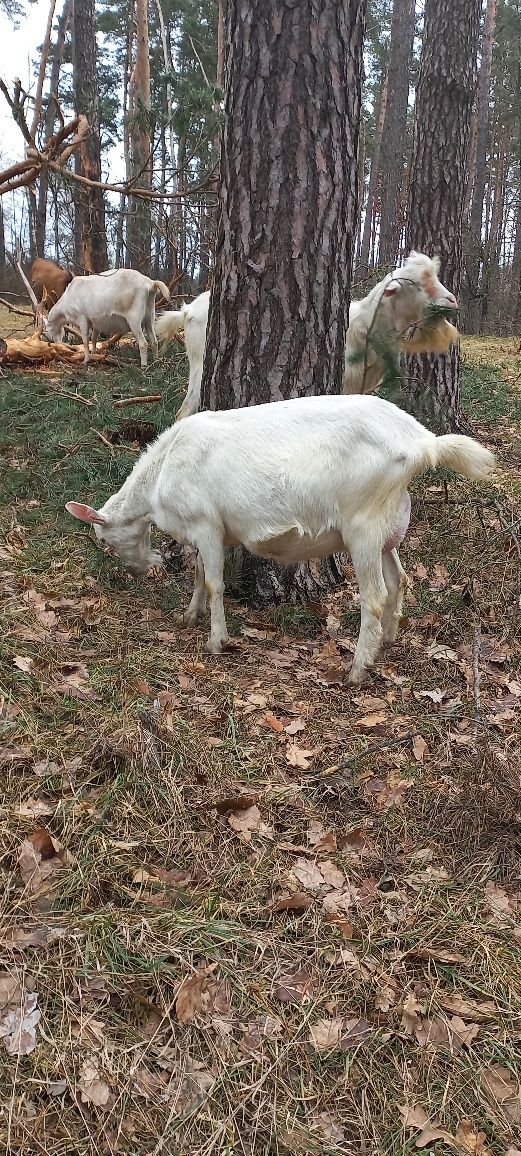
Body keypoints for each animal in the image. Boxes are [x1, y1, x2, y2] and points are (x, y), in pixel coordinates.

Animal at [63, 397, 496, 684]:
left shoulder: (205, 523)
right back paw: (386, 641)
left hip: (363, 525)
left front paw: (216, 641)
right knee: (400, 580)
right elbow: (202, 572)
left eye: (104, 538)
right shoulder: (210, 530)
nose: (141, 569)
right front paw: (189, 616)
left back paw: (357, 669)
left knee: (375, 596)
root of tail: (423, 442)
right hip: (389, 527)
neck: (162, 473)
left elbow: (214, 582)